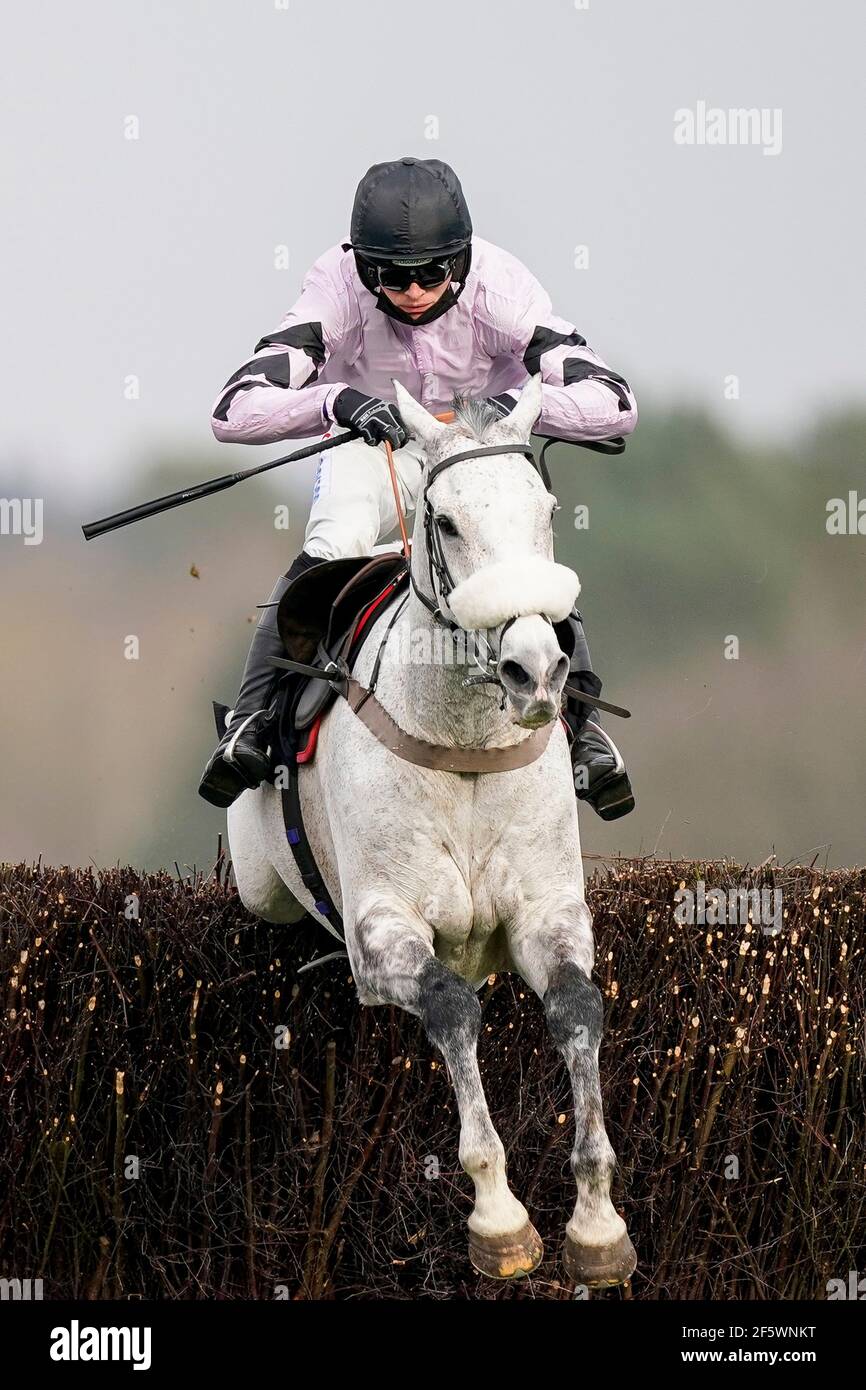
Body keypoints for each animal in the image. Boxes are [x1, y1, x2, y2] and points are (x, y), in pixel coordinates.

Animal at [229, 375, 636, 1284]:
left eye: (545, 511)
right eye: (446, 521)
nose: (534, 671)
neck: (465, 745)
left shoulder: (549, 913)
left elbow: (578, 1007)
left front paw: (598, 1225)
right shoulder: (382, 931)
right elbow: (449, 1007)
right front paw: (499, 1218)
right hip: (259, 880)